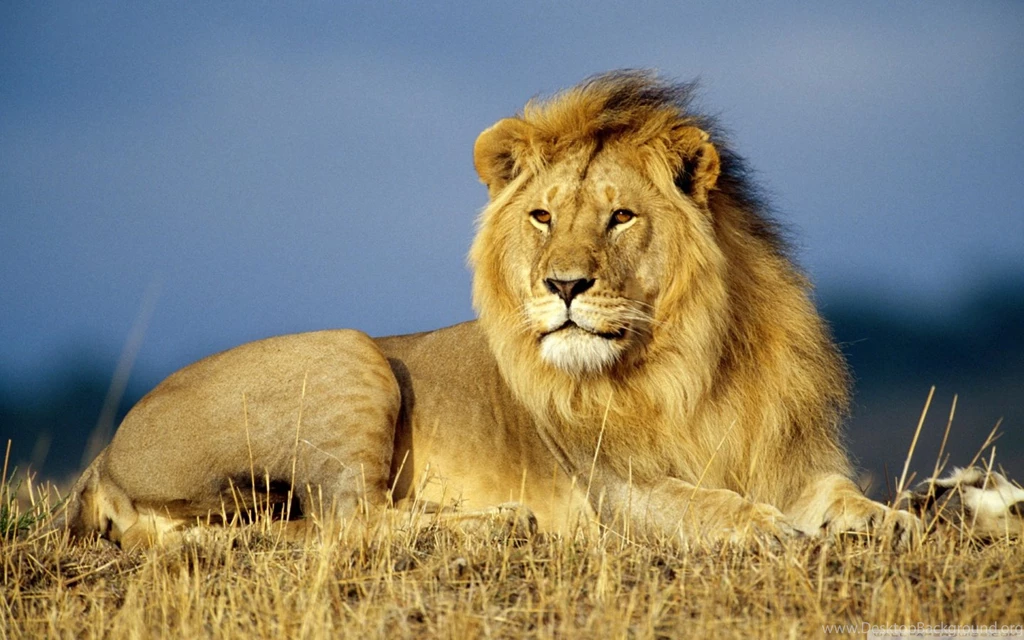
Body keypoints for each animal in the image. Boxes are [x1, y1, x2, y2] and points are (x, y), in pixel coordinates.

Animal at [60, 71, 1015, 550]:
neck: (689, 363)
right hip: (350, 354)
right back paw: (498, 523)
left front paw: (905, 517)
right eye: (544, 217)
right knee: (347, 522)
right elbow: (716, 510)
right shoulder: (615, 491)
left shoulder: (792, 459)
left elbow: (847, 499)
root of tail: (103, 459)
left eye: (620, 216)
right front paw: (776, 534)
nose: (563, 286)